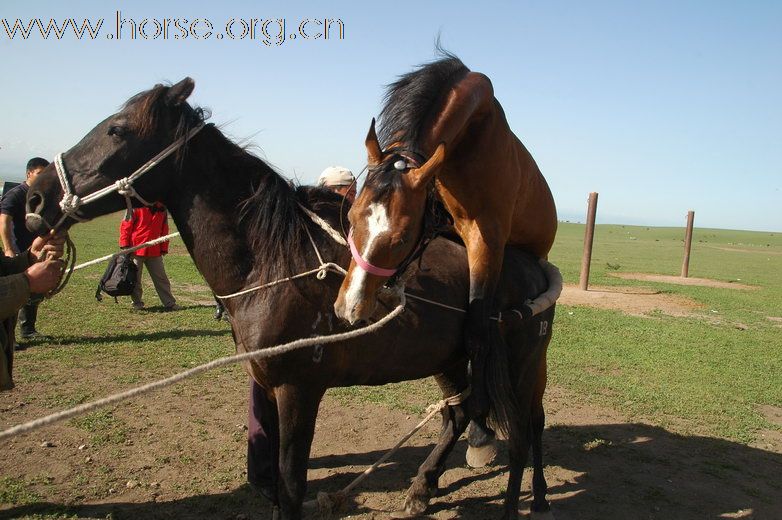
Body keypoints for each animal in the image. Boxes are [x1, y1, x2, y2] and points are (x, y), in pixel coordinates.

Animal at [334, 52, 560, 420]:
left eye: (402, 237)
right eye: (351, 218)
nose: (349, 308)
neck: (471, 136)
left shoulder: (486, 241)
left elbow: (478, 332)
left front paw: (480, 421)